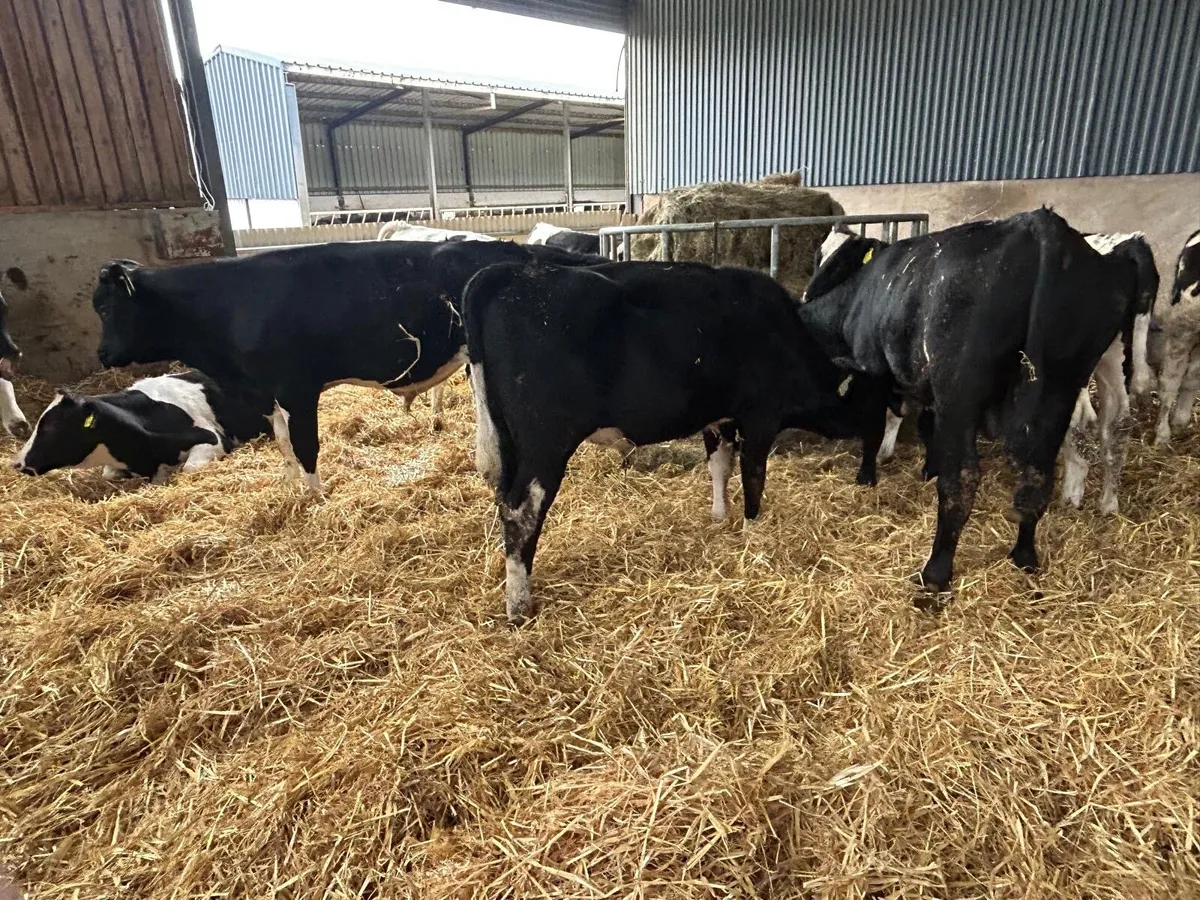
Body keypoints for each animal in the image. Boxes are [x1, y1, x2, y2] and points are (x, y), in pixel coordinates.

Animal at [91, 240, 601, 492]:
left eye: (107, 306)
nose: (102, 354)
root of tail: (517, 249)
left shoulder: (297, 387)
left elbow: (306, 445)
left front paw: (316, 497)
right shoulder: (267, 390)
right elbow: (284, 444)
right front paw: (290, 489)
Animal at [463, 259, 854, 624]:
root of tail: (511, 272)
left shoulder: (719, 418)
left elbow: (720, 467)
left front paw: (719, 516)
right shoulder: (761, 417)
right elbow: (753, 477)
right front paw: (752, 532)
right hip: (545, 443)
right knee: (522, 511)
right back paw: (519, 605)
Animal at [797, 208, 1140, 602]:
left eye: (824, 258)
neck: (861, 295)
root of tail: (1041, 226)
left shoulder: (877, 373)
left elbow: (876, 429)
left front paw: (867, 476)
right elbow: (927, 427)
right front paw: (926, 469)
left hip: (963, 388)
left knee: (962, 480)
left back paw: (935, 574)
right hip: (1061, 388)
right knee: (1040, 473)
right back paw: (1025, 555)